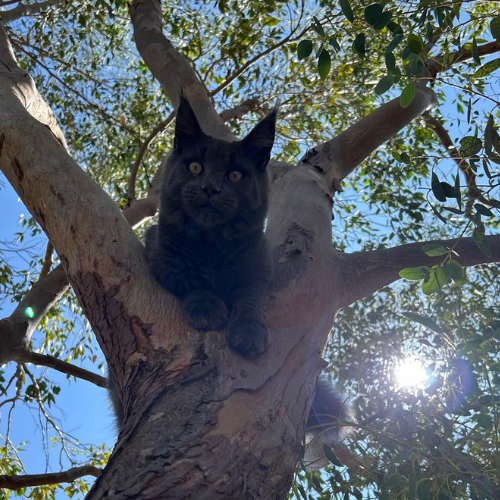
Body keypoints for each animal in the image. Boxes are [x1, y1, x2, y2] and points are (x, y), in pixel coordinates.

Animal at [145, 94, 278, 360]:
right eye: (195, 167)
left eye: (235, 175)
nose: (209, 188)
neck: (210, 245)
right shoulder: (158, 253)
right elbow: (190, 280)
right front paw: (206, 307)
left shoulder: (260, 265)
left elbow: (249, 294)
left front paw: (249, 330)